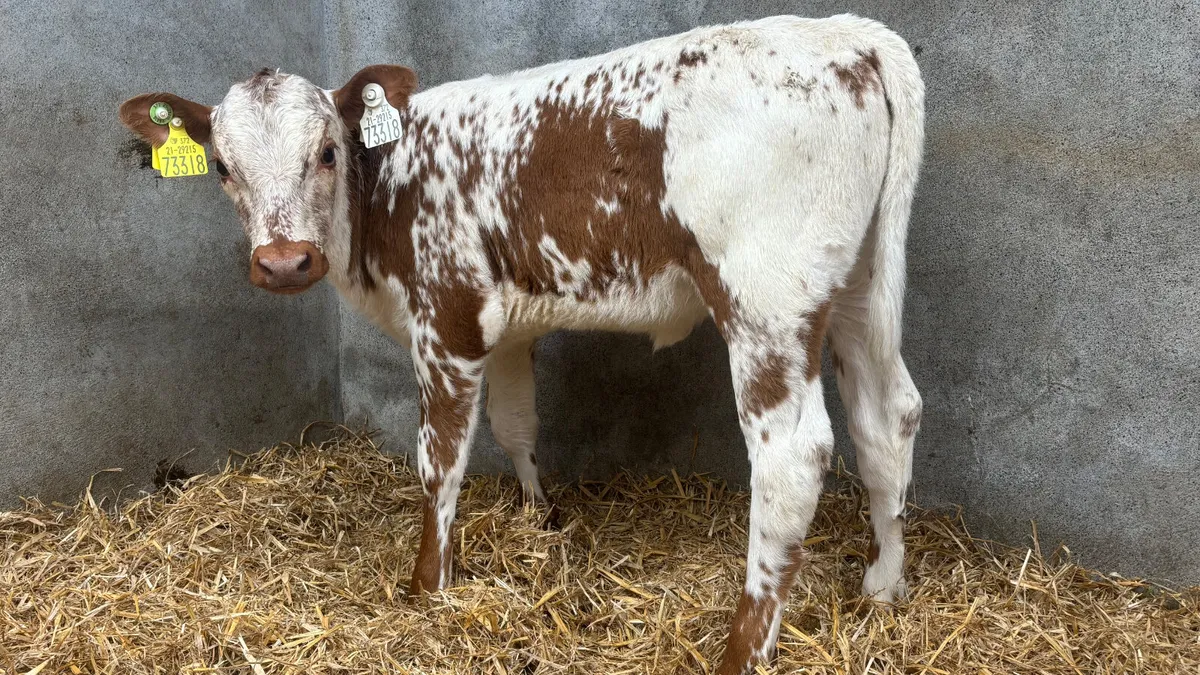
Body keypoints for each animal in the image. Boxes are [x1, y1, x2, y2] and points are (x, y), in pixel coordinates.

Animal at [118, 13, 924, 674]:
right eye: (222, 167)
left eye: (325, 152)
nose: (285, 262)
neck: (386, 192)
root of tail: (847, 34)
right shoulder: (503, 330)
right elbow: (516, 424)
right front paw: (542, 519)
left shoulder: (446, 320)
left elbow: (440, 459)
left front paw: (428, 584)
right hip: (860, 284)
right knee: (890, 416)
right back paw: (881, 587)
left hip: (766, 300)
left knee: (793, 457)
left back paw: (742, 651)